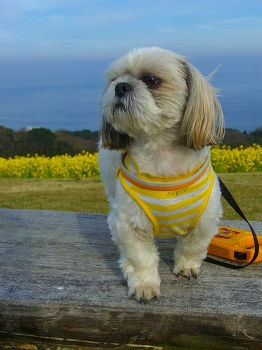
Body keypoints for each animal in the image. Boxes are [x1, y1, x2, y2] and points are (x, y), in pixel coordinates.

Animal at [99, 47, 224, 300]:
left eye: (152, 80)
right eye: (114, 80)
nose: (121, 86)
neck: (160, 155)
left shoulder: (206, 217)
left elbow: (193, 245)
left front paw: (187, 266)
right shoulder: (129, 223)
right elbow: (140, 257)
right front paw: (144, 285)